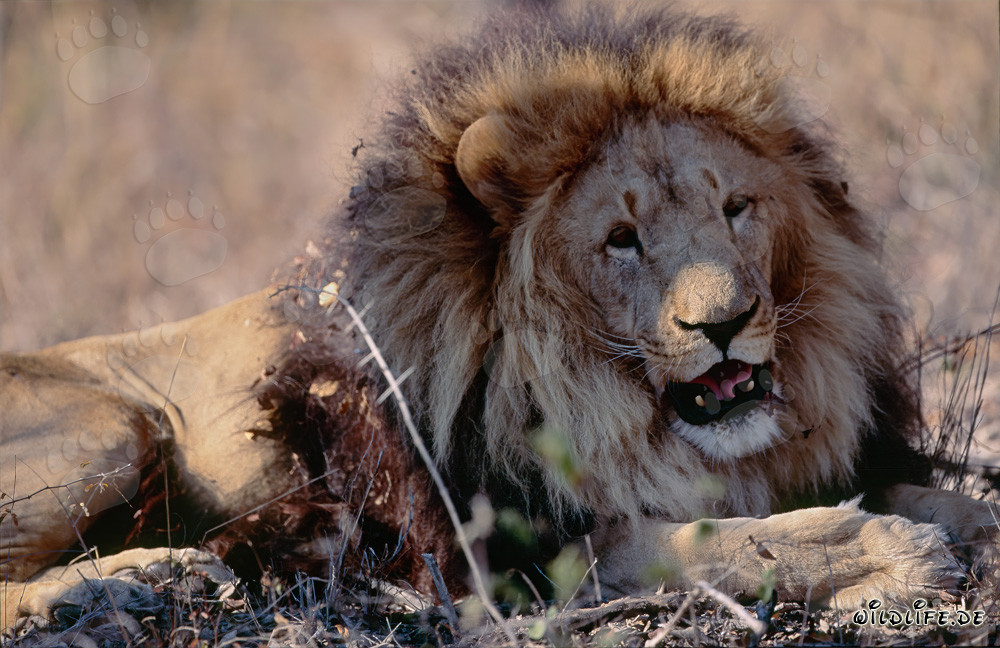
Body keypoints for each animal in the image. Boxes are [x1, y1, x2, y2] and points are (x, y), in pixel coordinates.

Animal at [2, 5, 997, 630]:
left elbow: (936, 496)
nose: (727, 321)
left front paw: (961, 524)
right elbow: (716, 543)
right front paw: (890, 557)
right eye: (621, 239)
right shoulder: (522, 551)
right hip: (110, 427)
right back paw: (117, 584)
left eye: (736, 208)